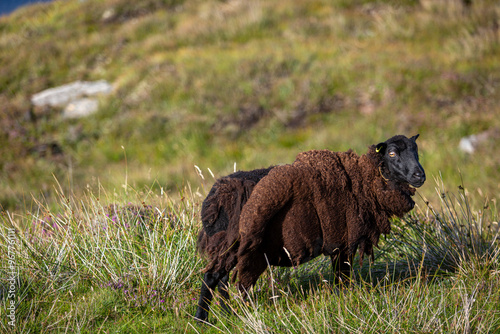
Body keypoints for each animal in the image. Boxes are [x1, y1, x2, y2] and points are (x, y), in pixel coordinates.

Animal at [194, 134, 426, 322]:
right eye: (392, 153)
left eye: (416, 151)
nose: (419, 176)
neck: (361, 180)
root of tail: (216, 197)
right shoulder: (341, 242)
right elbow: (342, 276)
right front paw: (344, 303)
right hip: (236, 243)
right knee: (212, 277)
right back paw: (202, 320)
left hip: (225, 245)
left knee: (222, 280)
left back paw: (227, 314)